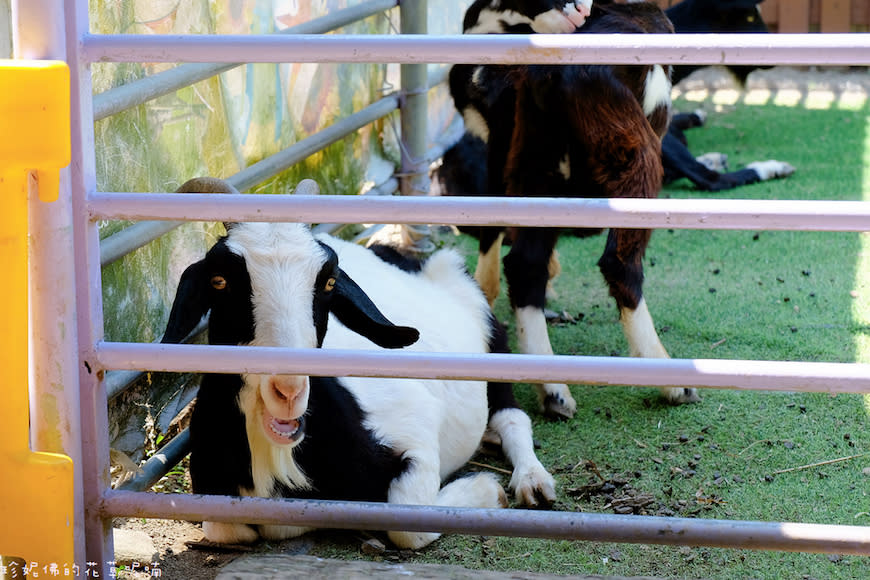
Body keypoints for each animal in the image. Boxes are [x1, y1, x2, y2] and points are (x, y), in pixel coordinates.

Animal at [160, 177, 556, 548]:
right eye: (219, 281)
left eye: (329, 282)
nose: (288, 390)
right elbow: (224, 528)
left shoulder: (415, 424)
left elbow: (407, 519)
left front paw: (489, 490)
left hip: (483, 324)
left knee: (511, 414)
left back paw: (533, 478)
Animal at [446, 0, 700, 416]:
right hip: (636, 161)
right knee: (619, 264)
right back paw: (670, 379)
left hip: (533, 168)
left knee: (523, 264)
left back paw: (553, 390)